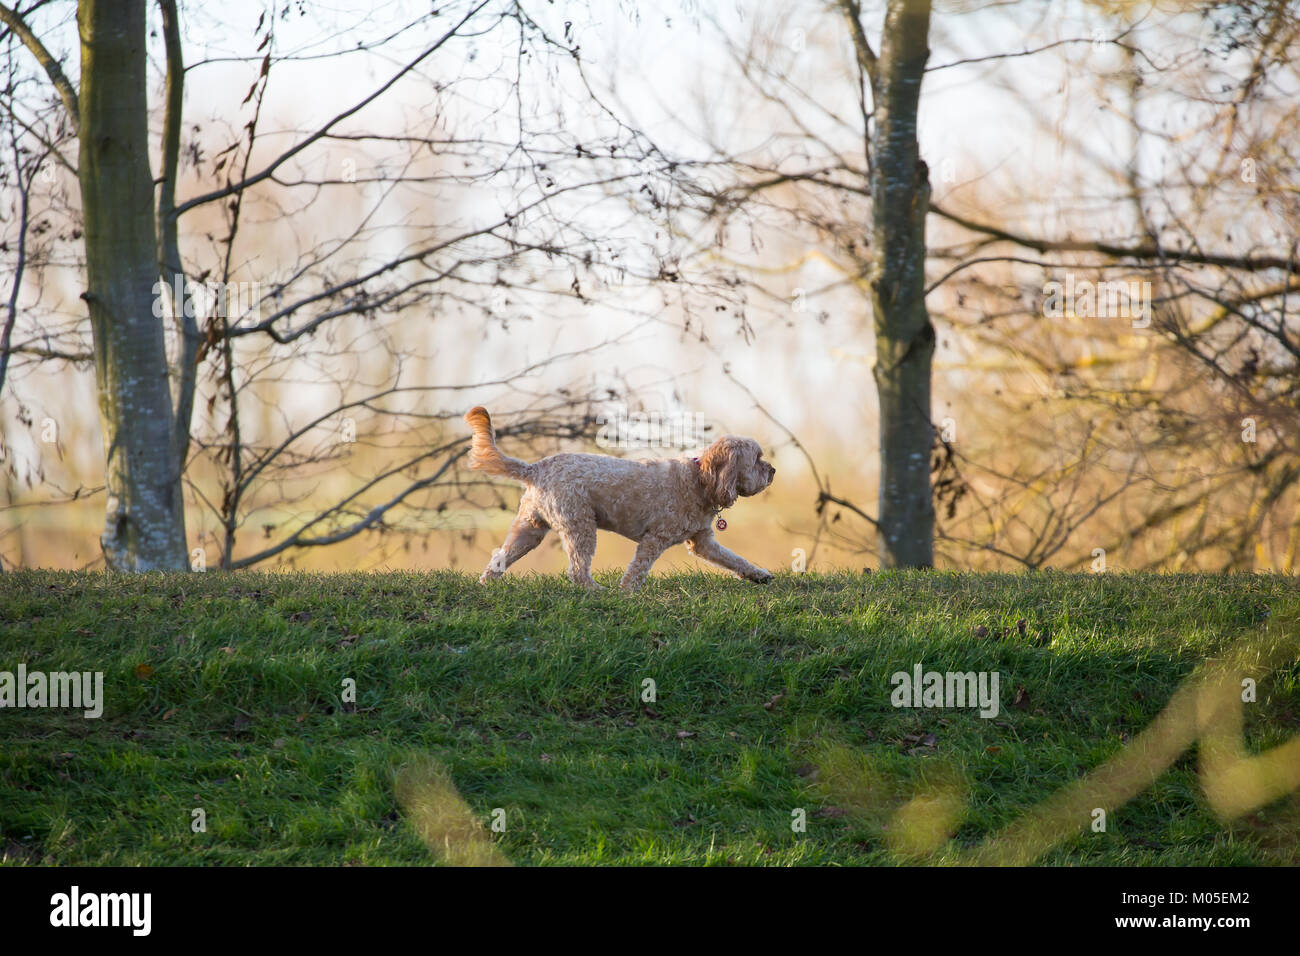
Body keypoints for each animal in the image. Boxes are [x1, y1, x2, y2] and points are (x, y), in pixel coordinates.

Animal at [465, 405, 774, 590]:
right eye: (756, 460)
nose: (772, 470)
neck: (700, 480)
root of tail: (536, 468)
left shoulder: (703, 543)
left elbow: (734, 559)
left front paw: (758, 574)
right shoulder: (655, 538)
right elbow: (638, 568)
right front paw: (628, 592)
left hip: (529, 529)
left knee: (499, 559)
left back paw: (486, 585)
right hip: (580, 526)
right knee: (578, 570)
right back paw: (595, 591)